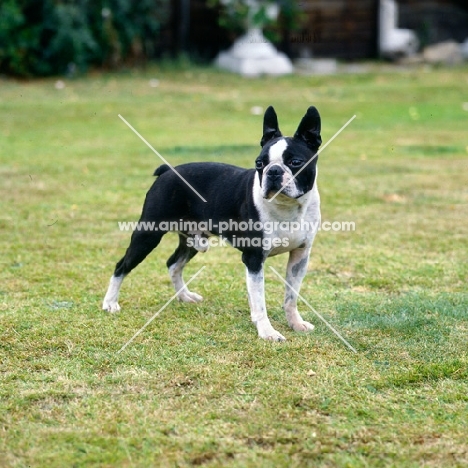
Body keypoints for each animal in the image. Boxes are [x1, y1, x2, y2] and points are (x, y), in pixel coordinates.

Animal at [103, 105, 322, 340]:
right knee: (122, 265)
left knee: (173, 263)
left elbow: (291, 296)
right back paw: (110, 303)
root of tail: (167, 171)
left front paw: (295, 323)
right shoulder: (254, 259)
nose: (273, 171)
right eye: (259, 163)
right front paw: (267, 332)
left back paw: (185, 296)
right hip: (148, 234)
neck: (287, 207)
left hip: (191, 239)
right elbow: (259, 302)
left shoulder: (300, 256)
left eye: (296, 162)